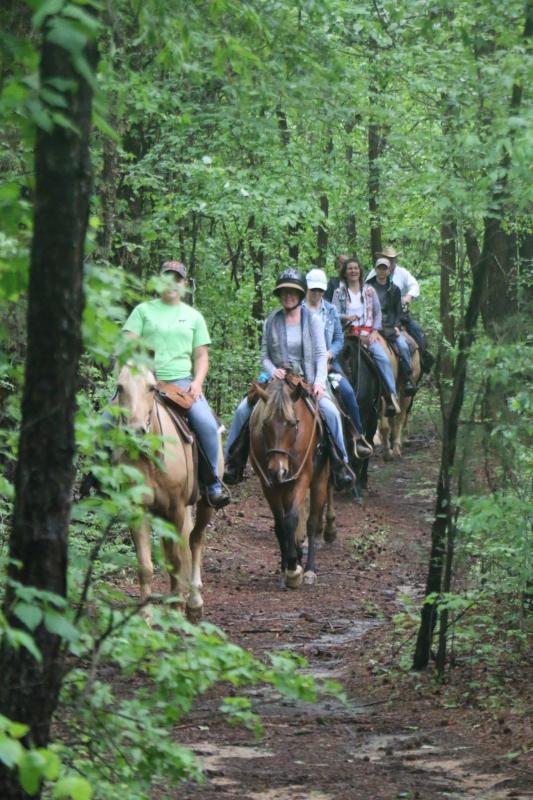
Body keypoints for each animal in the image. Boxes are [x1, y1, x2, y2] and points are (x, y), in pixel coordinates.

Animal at [115, 366, 219, 620]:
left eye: (151, 388)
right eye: (120, 387)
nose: (136, 431)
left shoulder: (176, 509)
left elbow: (176, 559)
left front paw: (176, 609)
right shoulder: (139, 510)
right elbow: (145, 565)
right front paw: (145, 615)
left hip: (205, 506)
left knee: (195, 540)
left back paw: (194, 602)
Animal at [247, 378, 330, 592]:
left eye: (293, 424)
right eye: (265, 424)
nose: (278, 470)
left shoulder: (301, 479)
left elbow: (291, 519)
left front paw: (294, 570)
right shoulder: (268, 485)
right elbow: (280, 525)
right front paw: (285, 569)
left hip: (319, 480)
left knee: (311, 521)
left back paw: (309, 570)